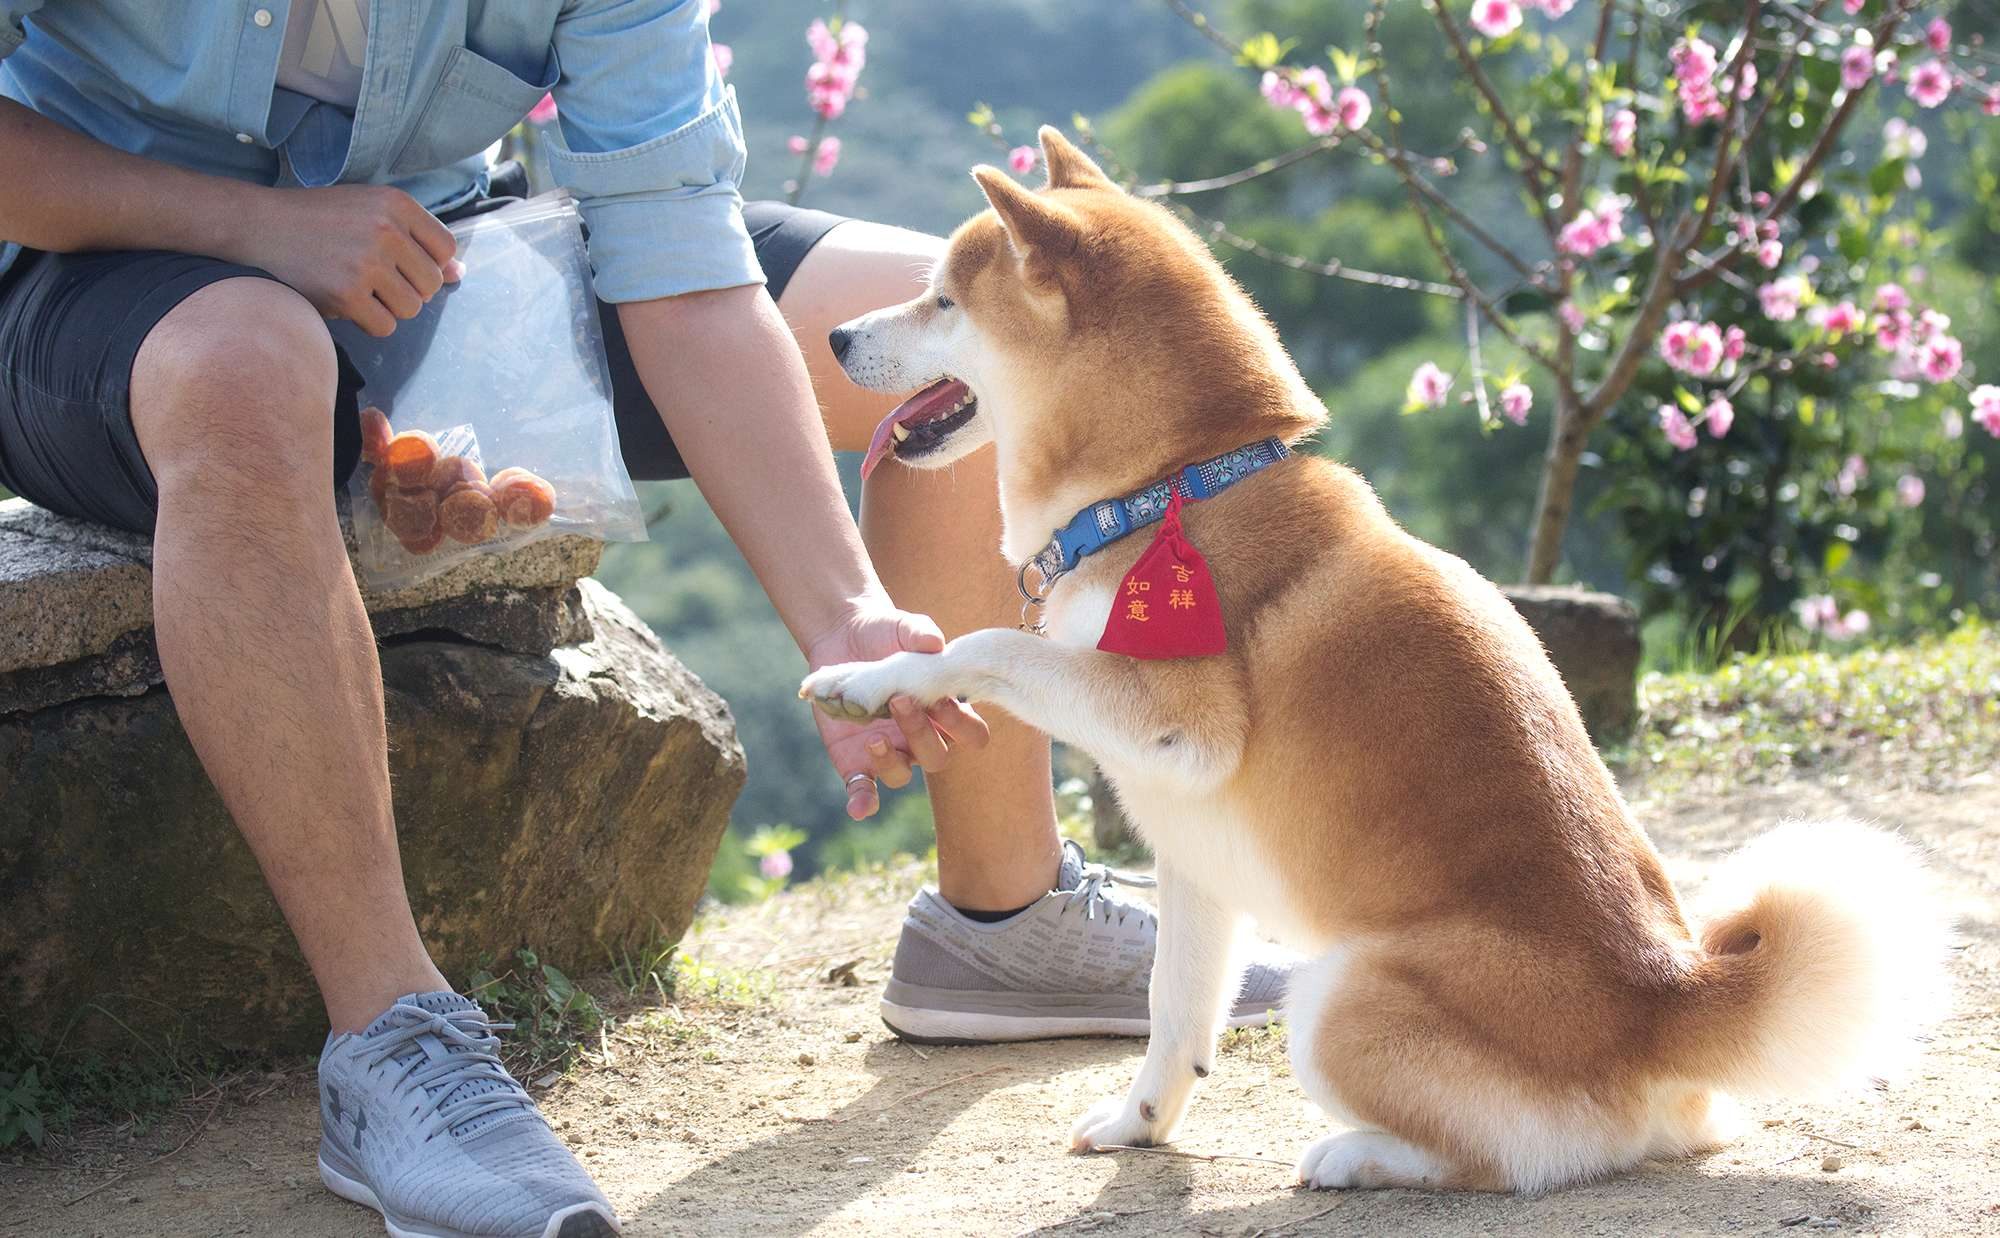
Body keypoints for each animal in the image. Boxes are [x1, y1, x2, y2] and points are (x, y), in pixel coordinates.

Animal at [800, 126, 1952, 1192]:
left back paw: (1355, 1154)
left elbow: (984, 644)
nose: (836, 332)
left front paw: (866, 680)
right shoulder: (1193, 858)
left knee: (1511, 1159)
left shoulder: (1178, 728)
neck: (1173, 487)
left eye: (942, 300)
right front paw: (1139, 1123)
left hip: (1333, 995)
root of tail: (1666, 998)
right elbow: (1174, 1016)